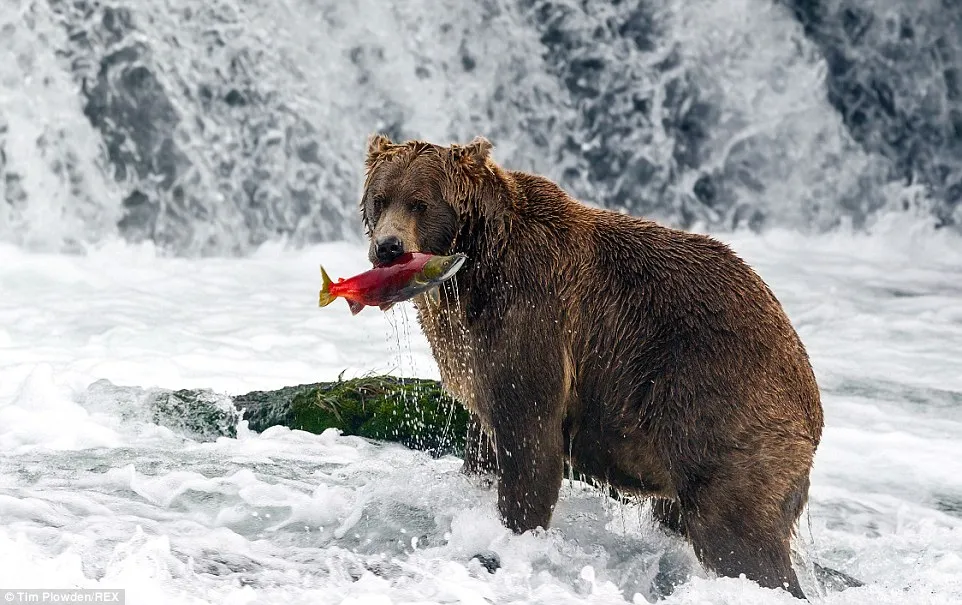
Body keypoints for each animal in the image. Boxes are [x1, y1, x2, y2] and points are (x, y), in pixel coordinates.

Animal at [356, 130, 820, 596]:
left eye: (420, 203)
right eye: (380, 199)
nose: (388, 247)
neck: (472, 271)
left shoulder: (532, 315)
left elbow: (530, 444)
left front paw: (512, 533)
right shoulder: (475, 351)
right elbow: (485, 439)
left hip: (718, 405)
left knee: (737, 535)